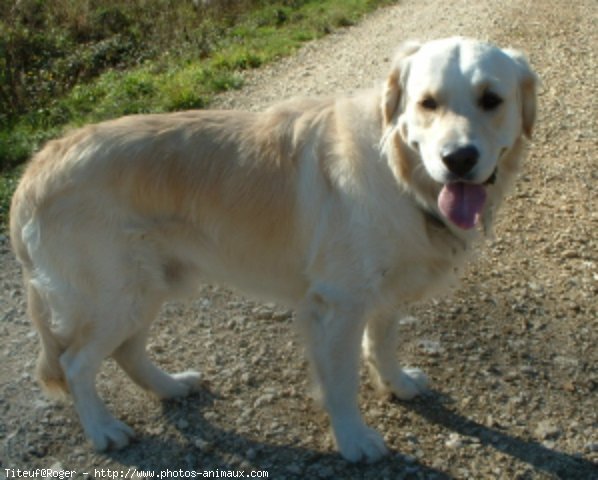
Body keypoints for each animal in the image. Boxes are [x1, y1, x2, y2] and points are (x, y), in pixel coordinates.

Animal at [9, 36, 536, 462]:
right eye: (427, 103)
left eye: (492, 100)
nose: (458, 159)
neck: (400, 170)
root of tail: (35, 169)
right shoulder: (337, 304)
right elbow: (341, 381)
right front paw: (354, 440)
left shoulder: (386, 291)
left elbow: (382, 343)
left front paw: (398, 383)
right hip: (116, 293)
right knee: (77, 363)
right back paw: (104, 430)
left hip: (147, 287)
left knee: (126, 350)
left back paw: (171, 386)